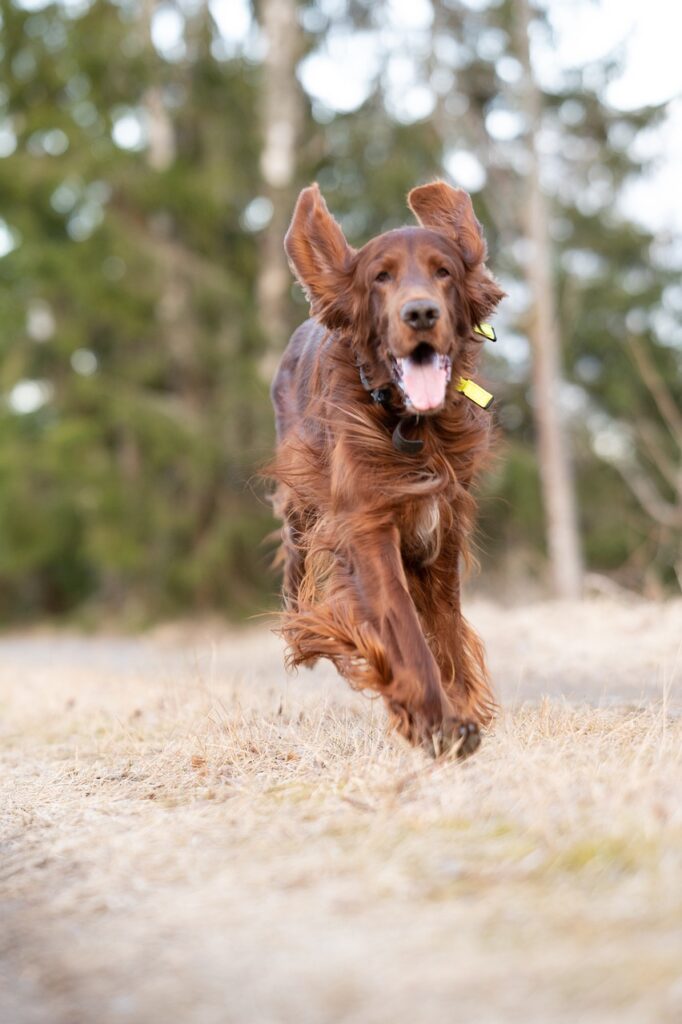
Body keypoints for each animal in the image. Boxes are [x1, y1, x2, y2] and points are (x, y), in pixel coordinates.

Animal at [268, 182, 501, 761]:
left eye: (444, 271)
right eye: (381, 276)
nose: (419, 313)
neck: (412, 425)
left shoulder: (441, 528)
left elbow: (444, 627)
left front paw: (456, 702)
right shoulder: (366, 523)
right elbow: (402, 627)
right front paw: (435, 720)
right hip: (302, 521)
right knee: (299, 599)